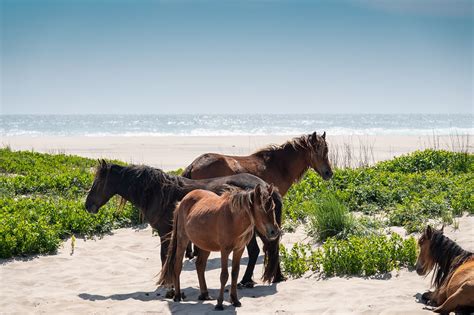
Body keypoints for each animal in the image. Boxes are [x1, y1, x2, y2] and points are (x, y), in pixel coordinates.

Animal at [84, 162, 284, 286]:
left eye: (98, 182)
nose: (87, 206)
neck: (158, 192)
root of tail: (265, 186)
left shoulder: (165, 232)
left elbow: (164, 256)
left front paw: (166, 282)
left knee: (258, 251)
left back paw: (246, 280)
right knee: (267, 249)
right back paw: (272, 277)